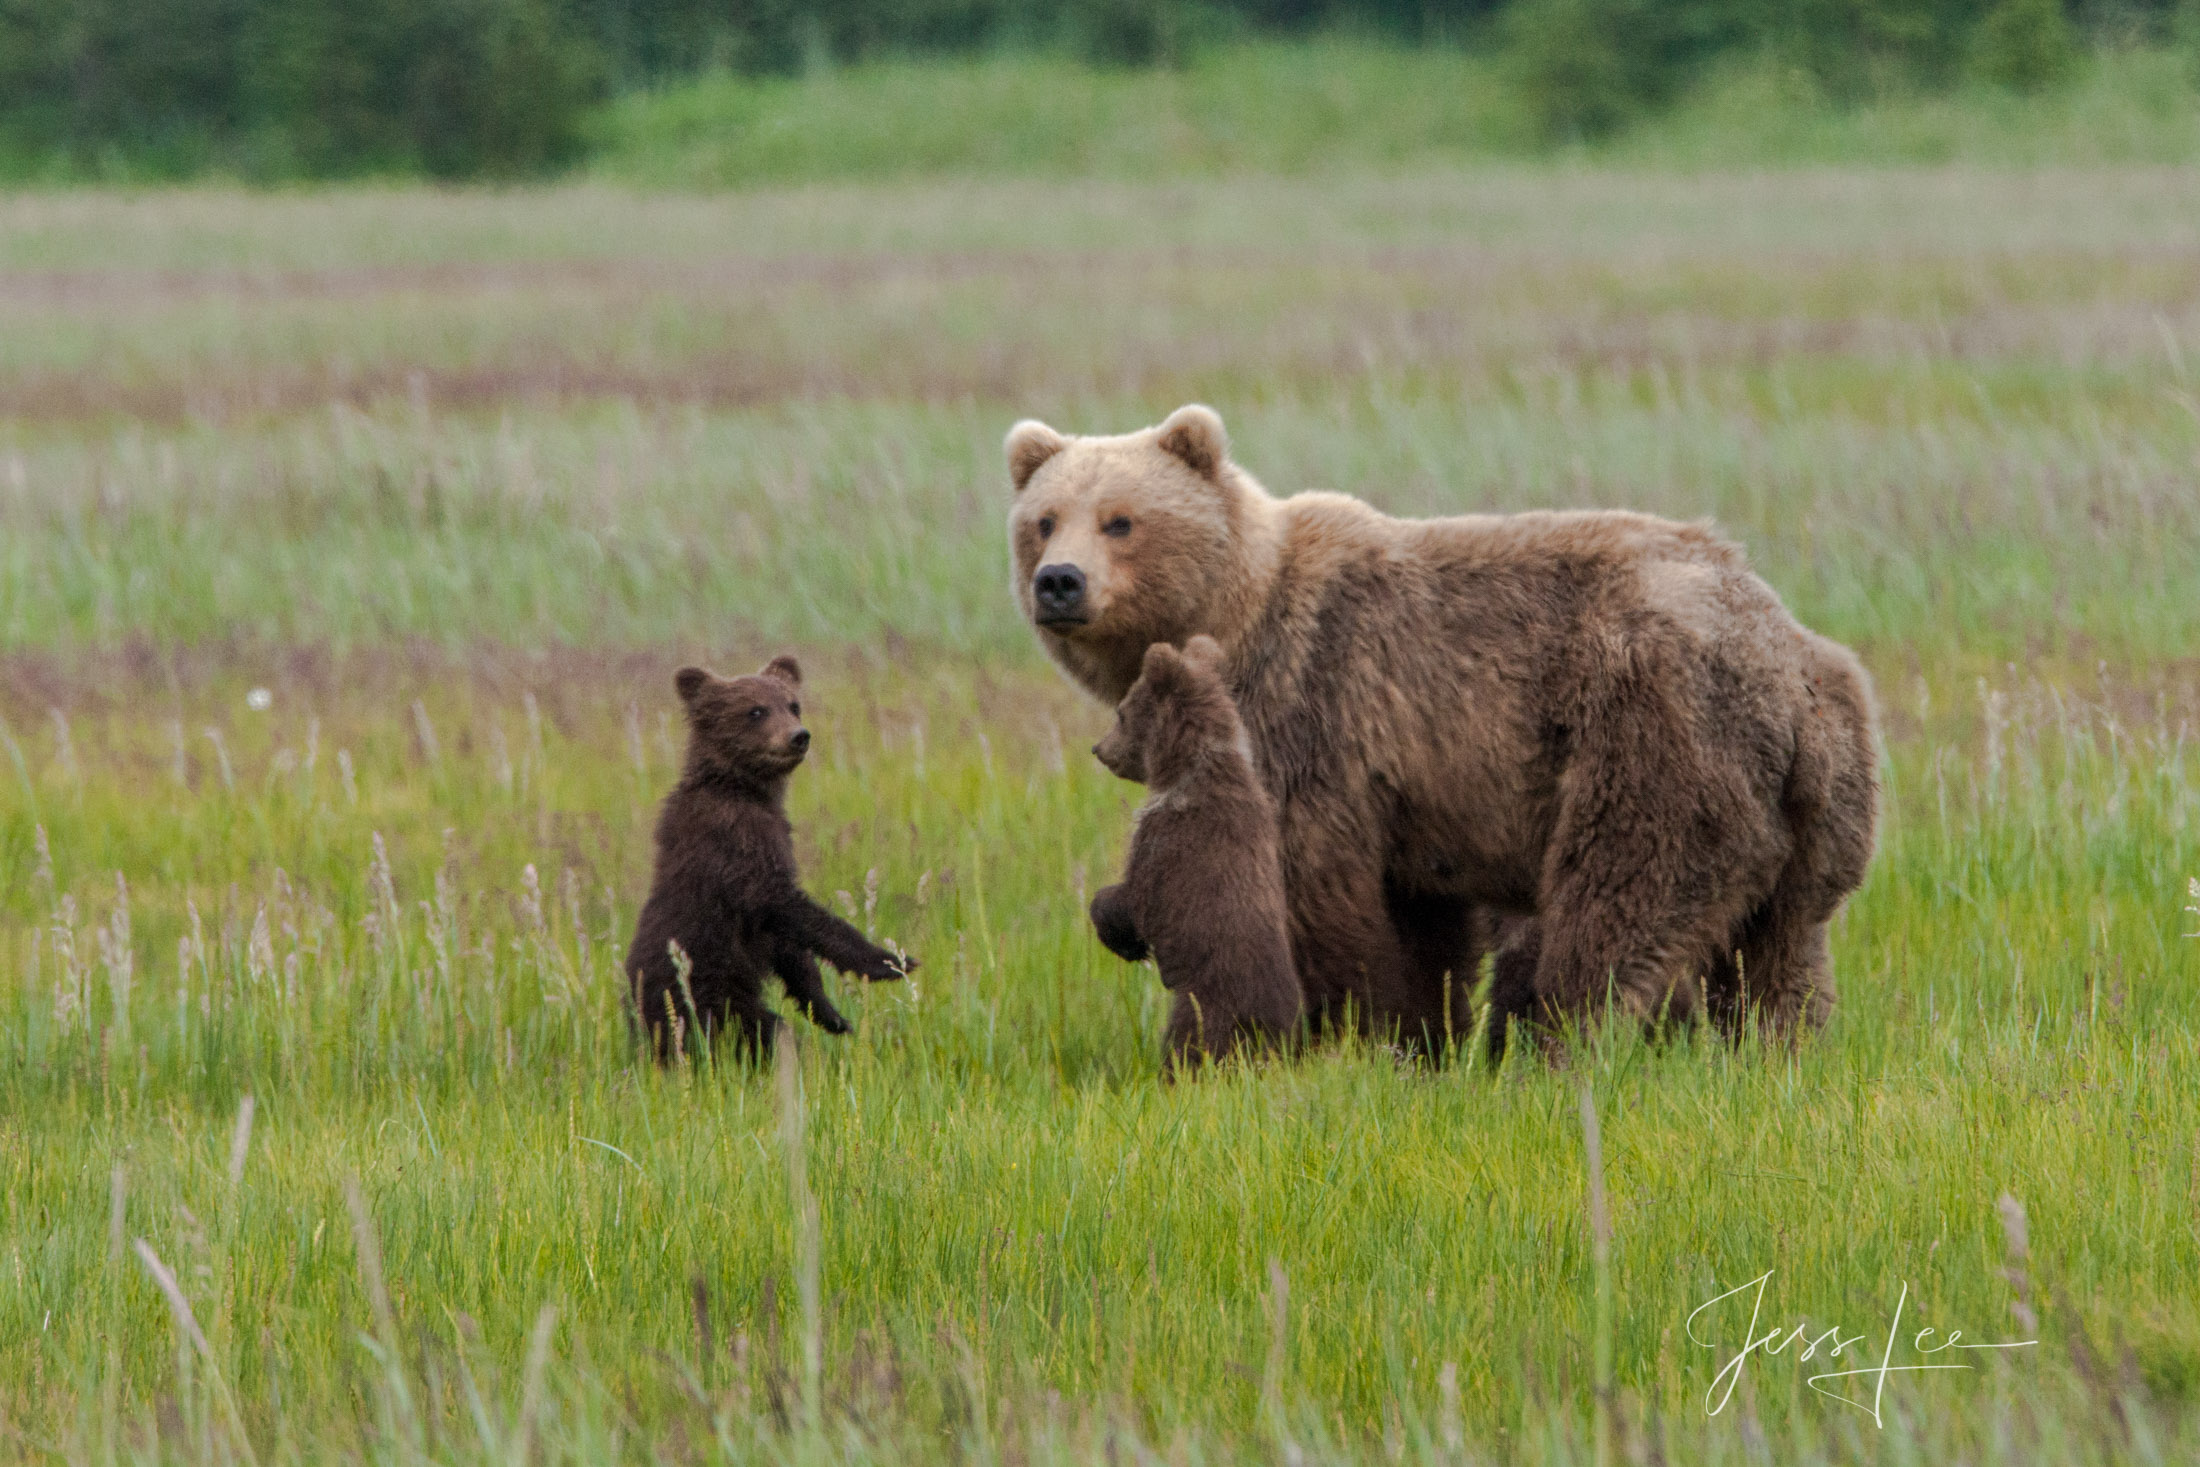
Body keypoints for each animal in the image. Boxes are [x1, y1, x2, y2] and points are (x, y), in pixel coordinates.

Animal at [1086, 637, 1293, 1073]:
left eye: (1121, 711)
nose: (1098, 748)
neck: (1191, 766)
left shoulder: (1168, 839)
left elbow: (1134, 898)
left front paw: (1121, 936)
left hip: (1204, 1002)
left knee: (1188, 1045)